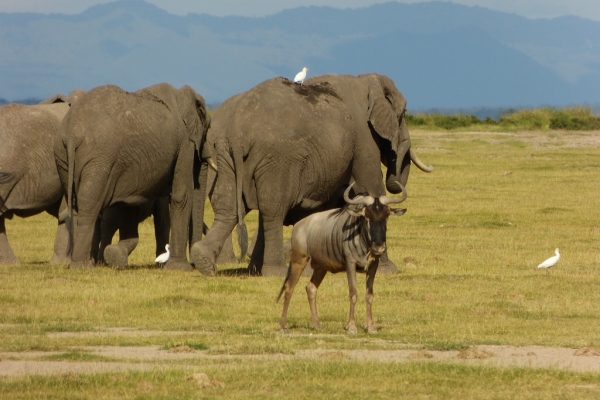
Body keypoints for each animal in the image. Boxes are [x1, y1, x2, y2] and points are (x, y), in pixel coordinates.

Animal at [54, 83, 212, 270]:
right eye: (207, 128)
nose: (195, 264)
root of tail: (72, 134)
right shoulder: (185, 144)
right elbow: (181, 196)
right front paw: (179, 268)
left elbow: (129, 203)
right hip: (100, 159)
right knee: (89, 205)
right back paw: (83, 266)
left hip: (62, 155)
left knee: (76, 203)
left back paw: (84, 263)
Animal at [192, 73, 432, 276]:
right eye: (403, 114)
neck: (365, 79)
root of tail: (238, 132)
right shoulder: (364, 138)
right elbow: (371, 187)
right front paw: (386, 270)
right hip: (278, 157)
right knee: (273, 209)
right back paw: (276, 272)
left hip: (223, 153)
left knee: (229, 207)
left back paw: (206, 261)